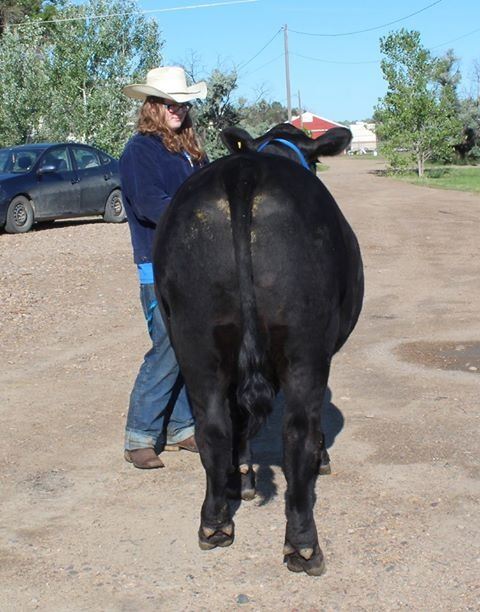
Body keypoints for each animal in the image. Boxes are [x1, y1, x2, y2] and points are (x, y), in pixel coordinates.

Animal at [153, 123, 364, 576]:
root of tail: (243, 171)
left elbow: (237, 419)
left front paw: (243, 475)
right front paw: (321, 460)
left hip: (195, 339)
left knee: (214, 427)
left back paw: (215, 522)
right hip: (304, 344)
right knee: (297, 432)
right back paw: (303, 545)